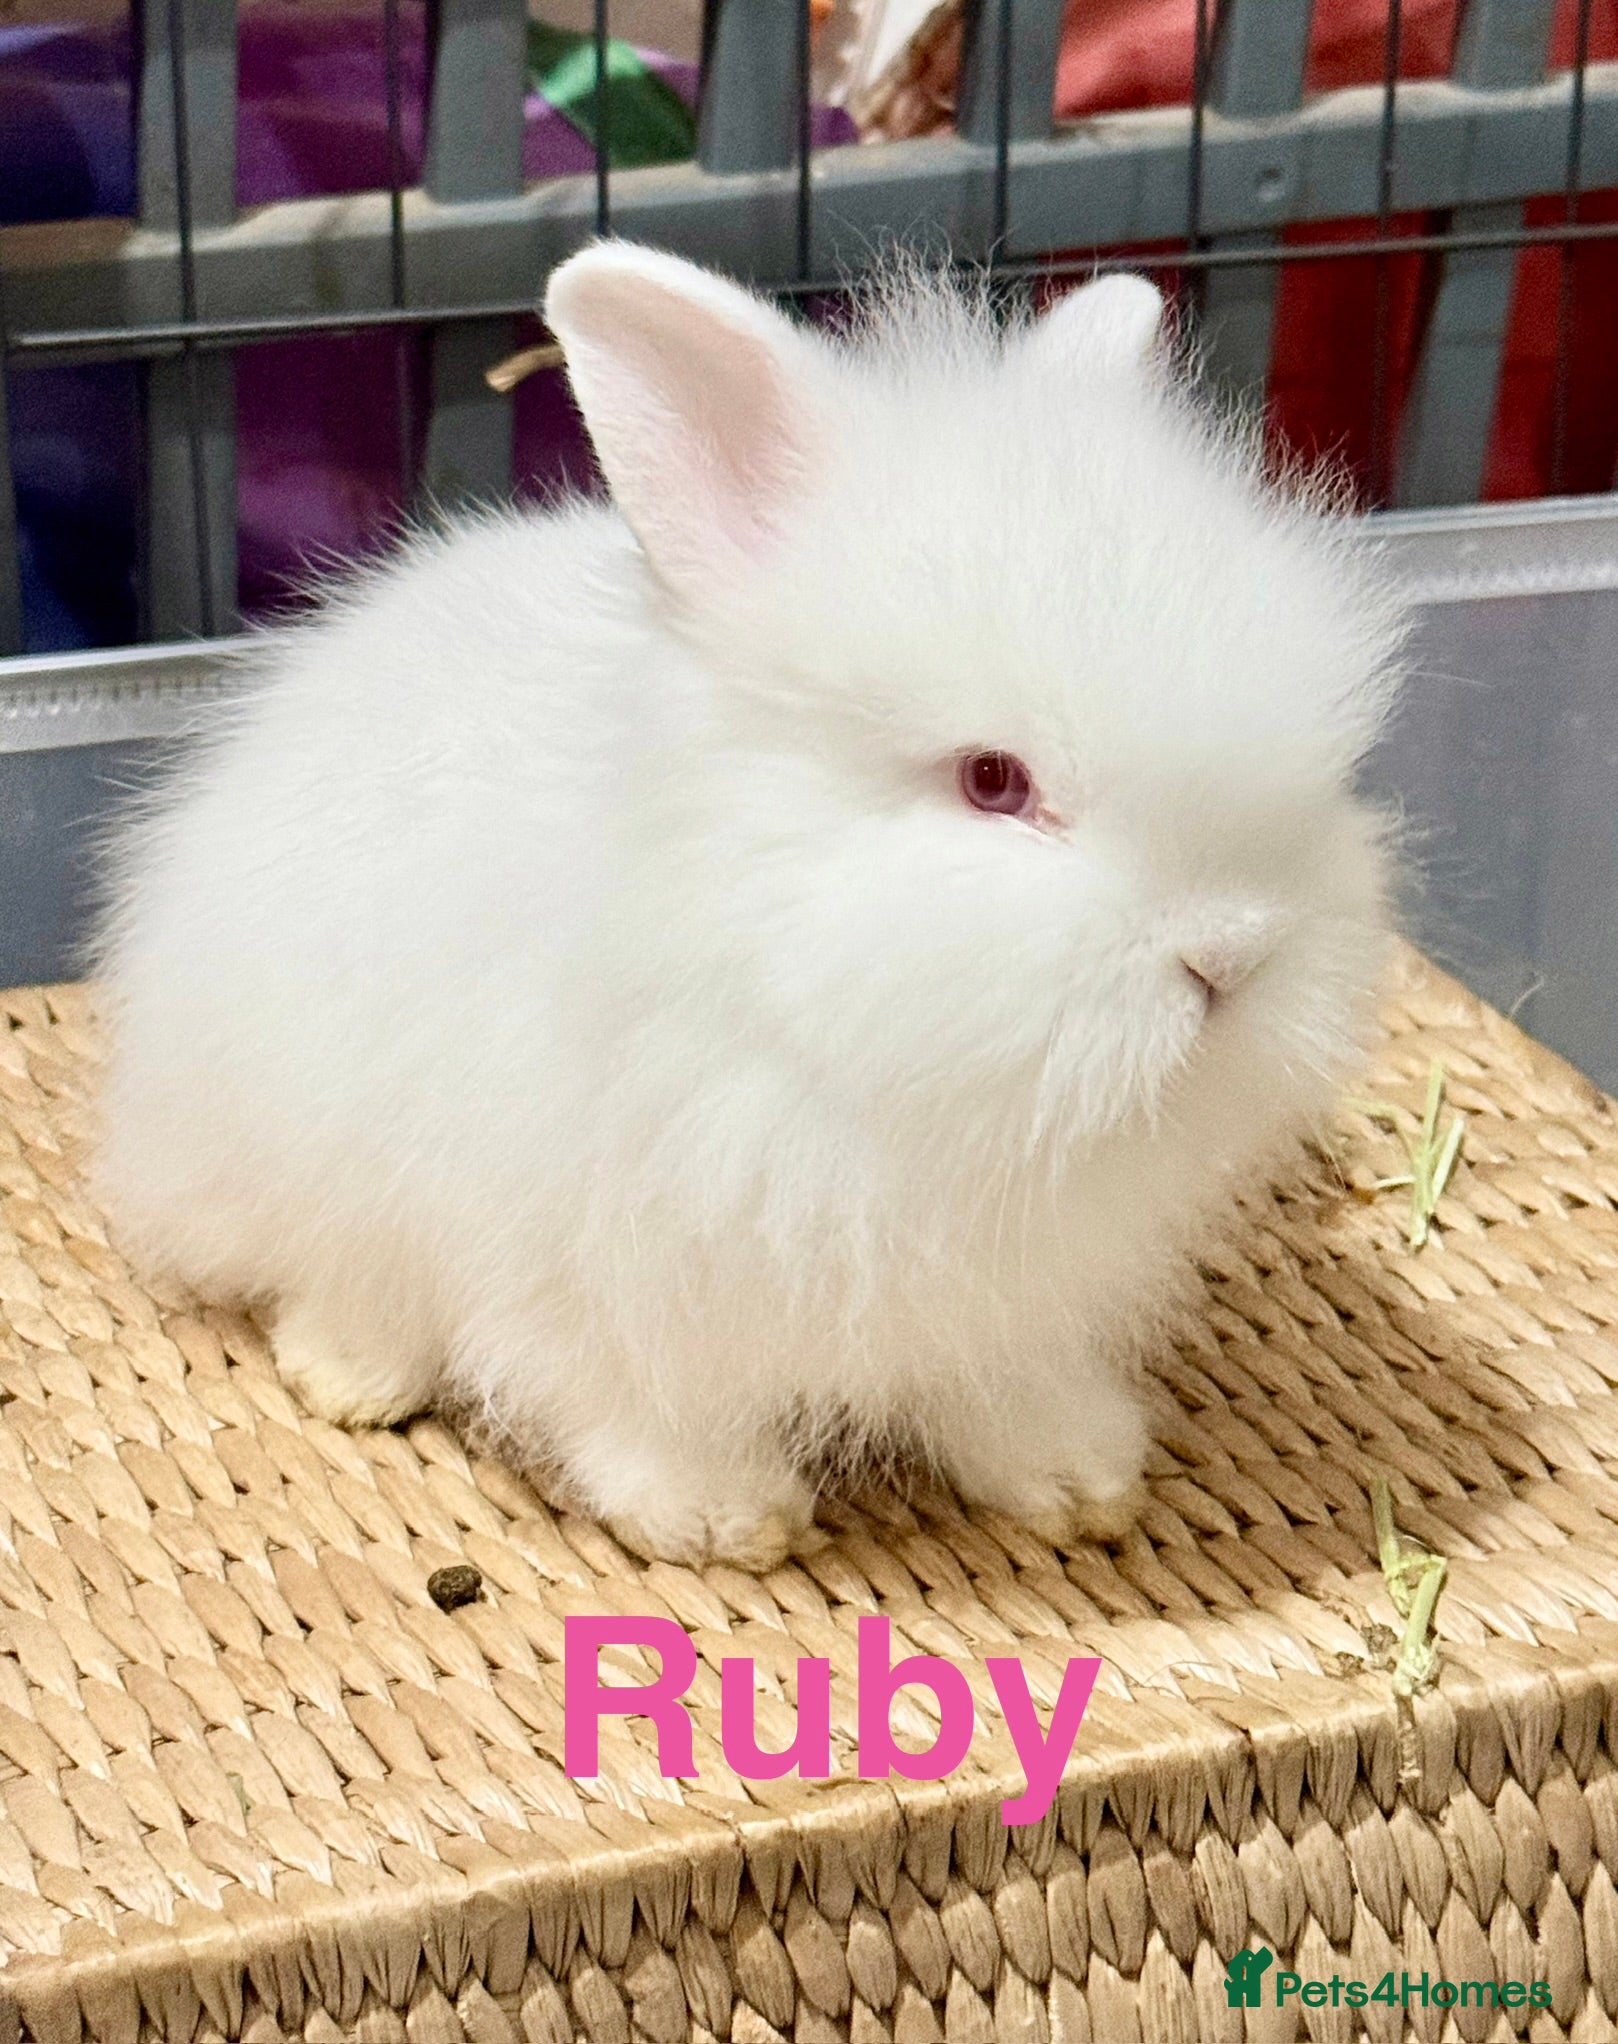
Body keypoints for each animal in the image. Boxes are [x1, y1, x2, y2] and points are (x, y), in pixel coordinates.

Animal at [92, 243, 1405, 1571]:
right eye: (993, 780)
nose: (1231, 954)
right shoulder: (584, 1264)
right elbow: (622, 1395)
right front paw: (721, 1516)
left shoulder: (1000, 1292)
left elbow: (998, 1381)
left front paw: (1078, 1475)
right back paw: (351, 1374)